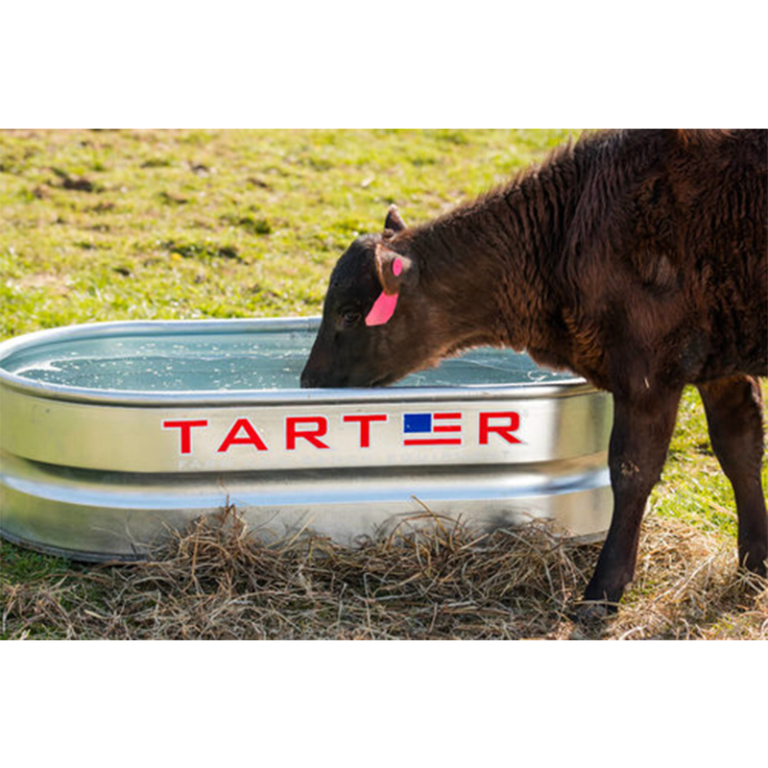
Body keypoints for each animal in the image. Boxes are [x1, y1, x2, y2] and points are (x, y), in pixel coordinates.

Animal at [300, 129, 768, 616]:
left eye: (350, 314)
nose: (309, 381)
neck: (569, 232)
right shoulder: (719, 364)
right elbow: (739, 447)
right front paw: (755, 563)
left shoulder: (647, 372)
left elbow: (631, 470)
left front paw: (604, 588)